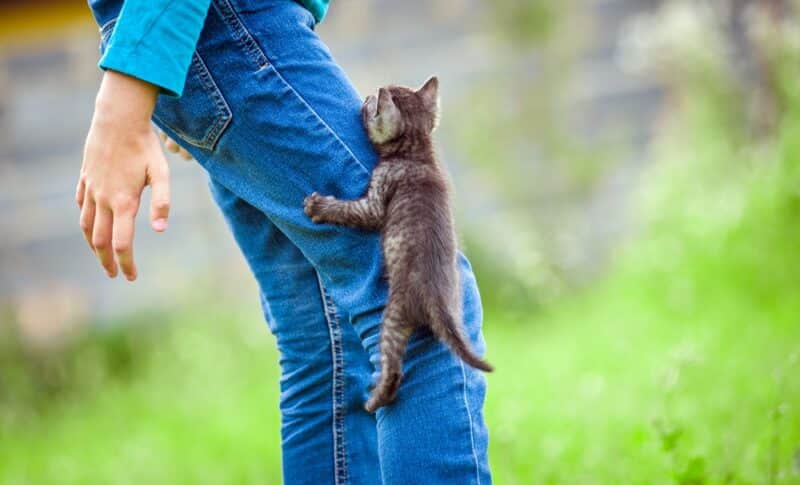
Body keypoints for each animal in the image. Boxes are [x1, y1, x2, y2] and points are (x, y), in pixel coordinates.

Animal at [304, 77, 490, 410]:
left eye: (371, 104)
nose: (366, 96)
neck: (416, 153)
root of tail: (438, 301)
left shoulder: (377, 195)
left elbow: (352, 211)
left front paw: (319, 206)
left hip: (392, 317)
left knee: (393, 369)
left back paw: (375, 400)